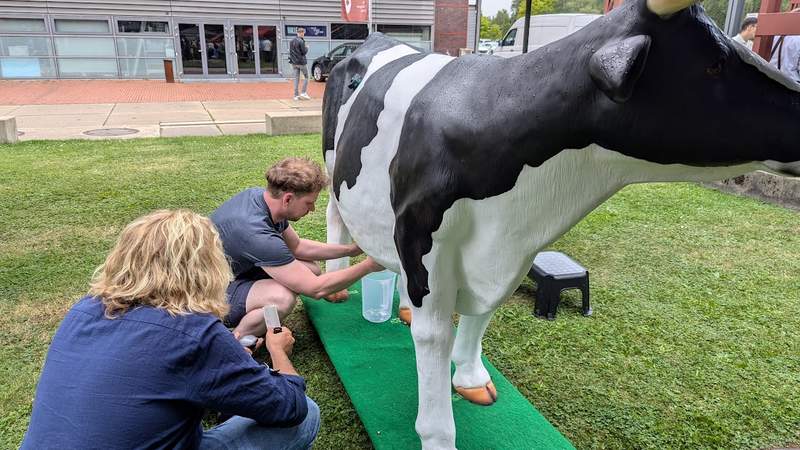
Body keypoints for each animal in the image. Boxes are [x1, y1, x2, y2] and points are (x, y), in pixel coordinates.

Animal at [322, 0, 796, 446]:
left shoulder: (510, 250)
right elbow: (434, 337)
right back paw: (335, 285)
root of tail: (371, 38)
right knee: (334, 219)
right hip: (334, 169)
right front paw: (438, 435)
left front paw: (471, 378)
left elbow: (484, 312)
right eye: (714, 62)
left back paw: (401, 304)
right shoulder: (423, 236)